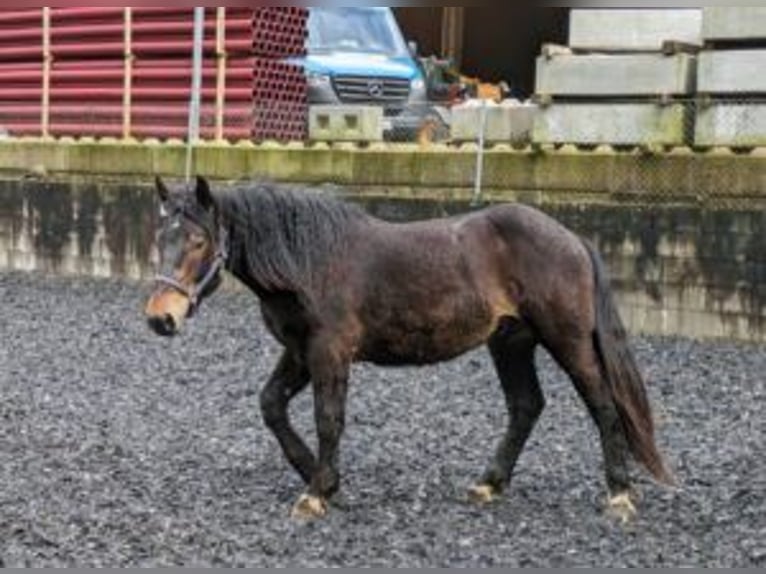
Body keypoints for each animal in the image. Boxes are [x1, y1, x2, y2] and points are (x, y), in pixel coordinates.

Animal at [147, 178, 676, 524]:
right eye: (159, 238)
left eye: (198, 240)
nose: (159, 318)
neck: (310, 261)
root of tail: (572, 238)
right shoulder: (299, 351)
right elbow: (271, 405)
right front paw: (317, 475)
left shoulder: (329, 352)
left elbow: (328, 419)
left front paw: (318, 492)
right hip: (511, 341)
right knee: (526, 406)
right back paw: (490, 483)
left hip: (567, 340)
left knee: (603, 406)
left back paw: (619, 495)